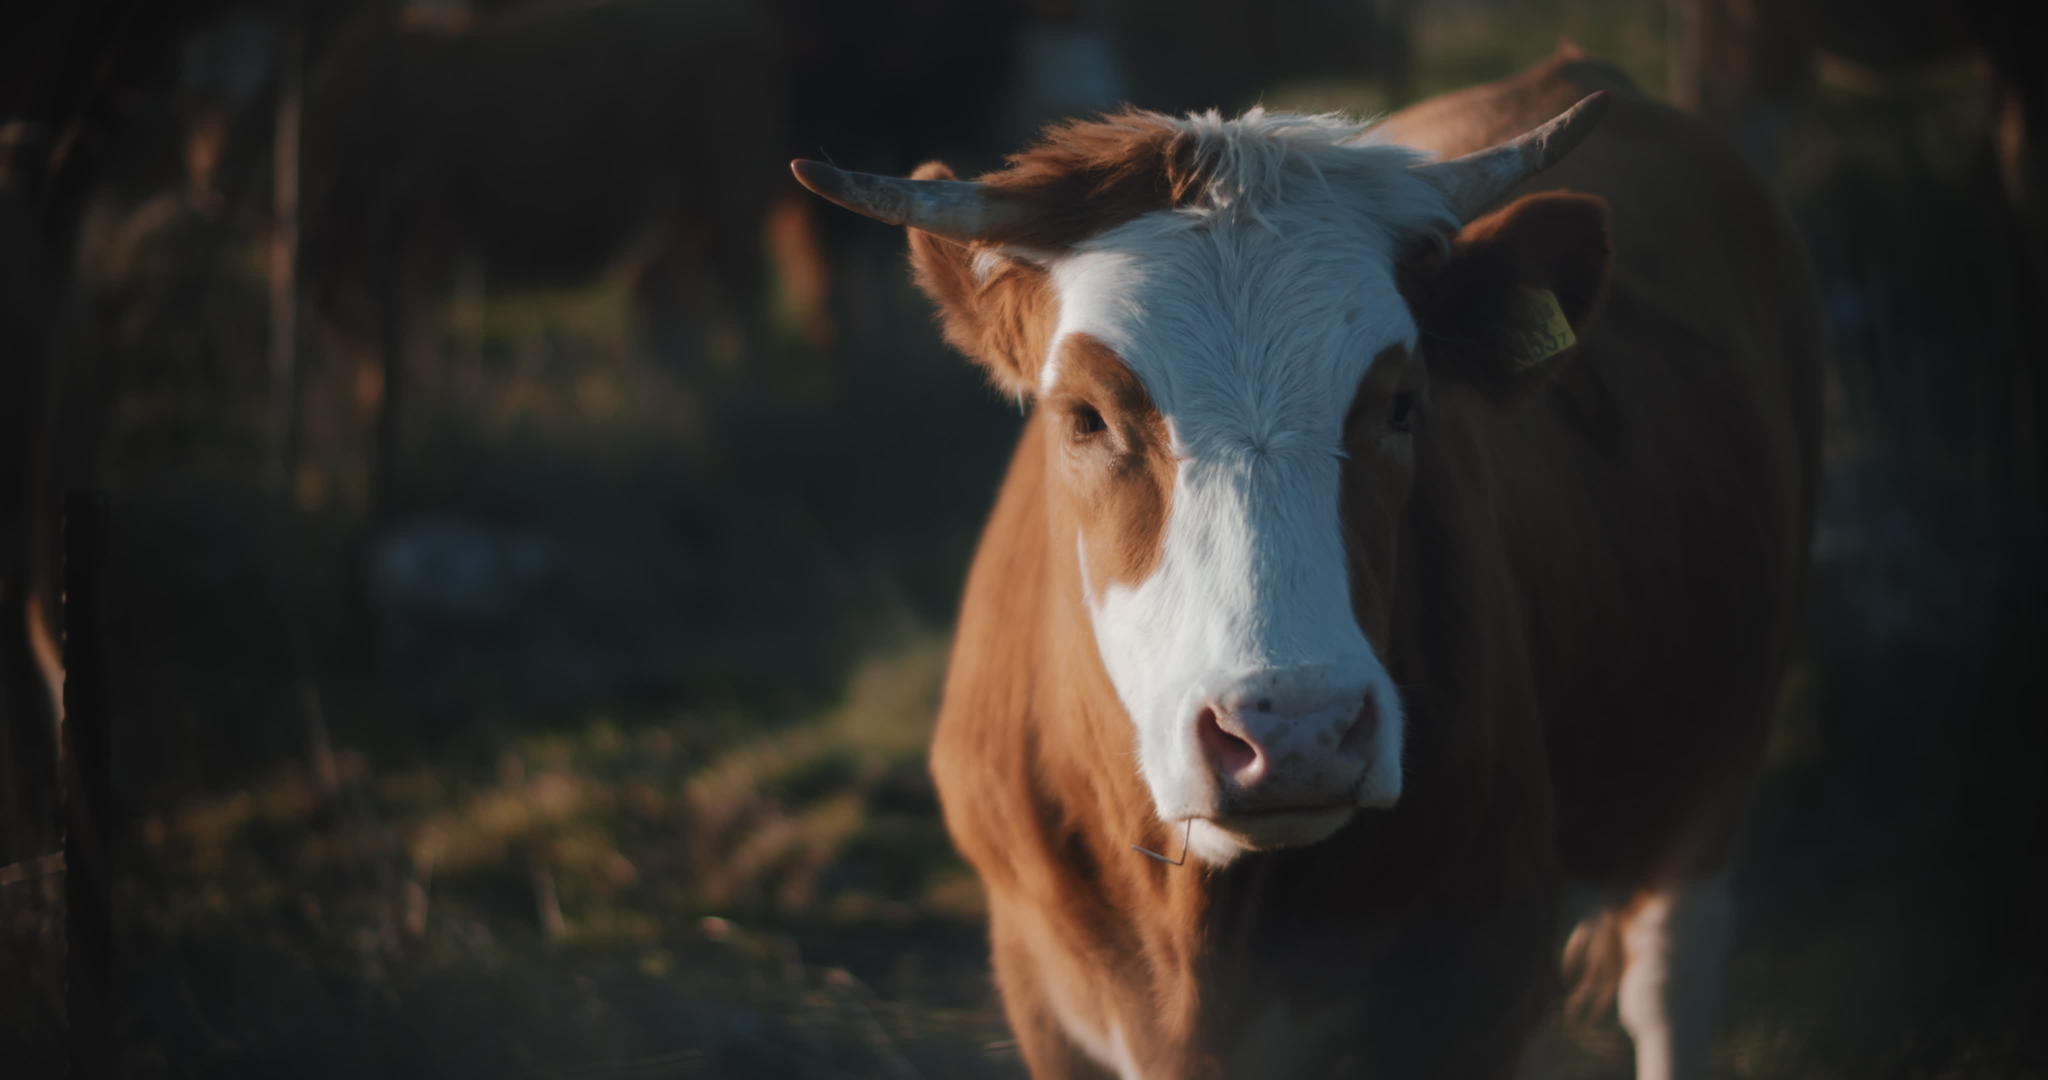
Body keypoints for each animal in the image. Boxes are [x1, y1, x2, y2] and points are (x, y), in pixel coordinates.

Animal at [790, 52, 1818, 1080]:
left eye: (1403, 404)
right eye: (1082, 415)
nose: (1294, 734)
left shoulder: (1477, 980)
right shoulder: (1043, 990)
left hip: (1711, 778)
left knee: (1668, 978)